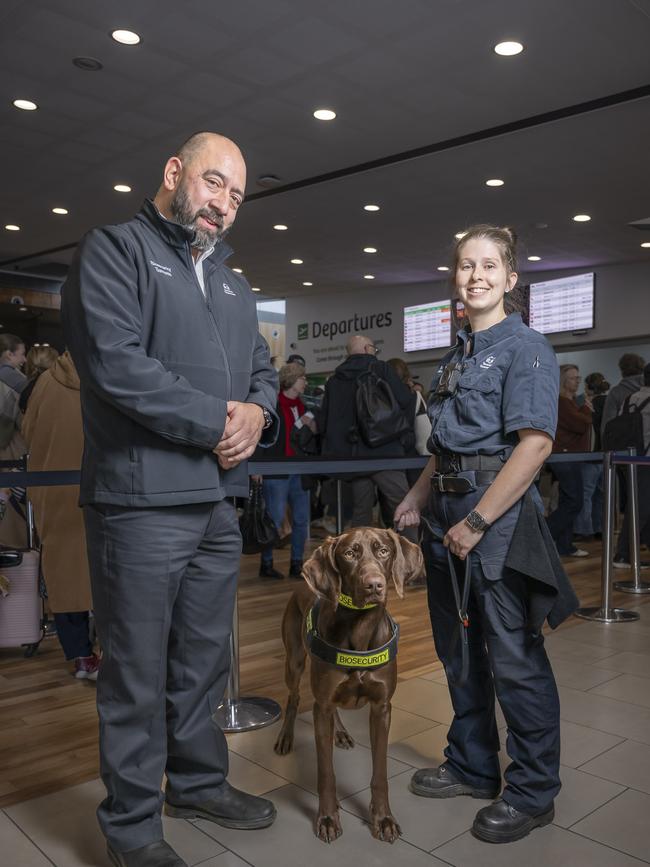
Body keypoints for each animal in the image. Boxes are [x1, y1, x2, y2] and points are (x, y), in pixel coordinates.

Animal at [270, 524, 422, 844]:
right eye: (350, 554)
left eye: (384, 551)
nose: (374, 585)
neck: (360, 628)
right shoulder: (322, 706)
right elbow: (326, 772)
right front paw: (328, 818)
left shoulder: (381, 708)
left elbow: (380, 772)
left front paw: (383, 819)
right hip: (294, 660)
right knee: (293, 697)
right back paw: (286, 737)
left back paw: (340, 733)